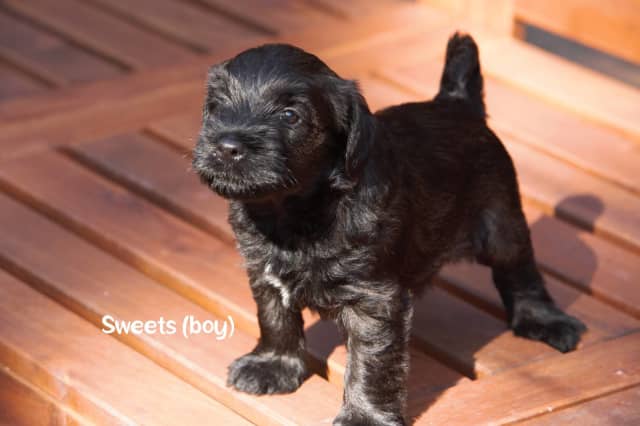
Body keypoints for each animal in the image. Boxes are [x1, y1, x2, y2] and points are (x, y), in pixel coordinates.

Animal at [192, 35, 588, 424]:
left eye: (290, 115)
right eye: (217, 107)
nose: (227, 146)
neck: (297, 212)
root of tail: (457, 103)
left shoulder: (374, 300)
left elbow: (371, 364)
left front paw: (364, 416)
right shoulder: (264, 271)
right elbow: (275, 317)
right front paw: (272, 365)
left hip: (501, 223)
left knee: (521, 271)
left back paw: (544, 320)